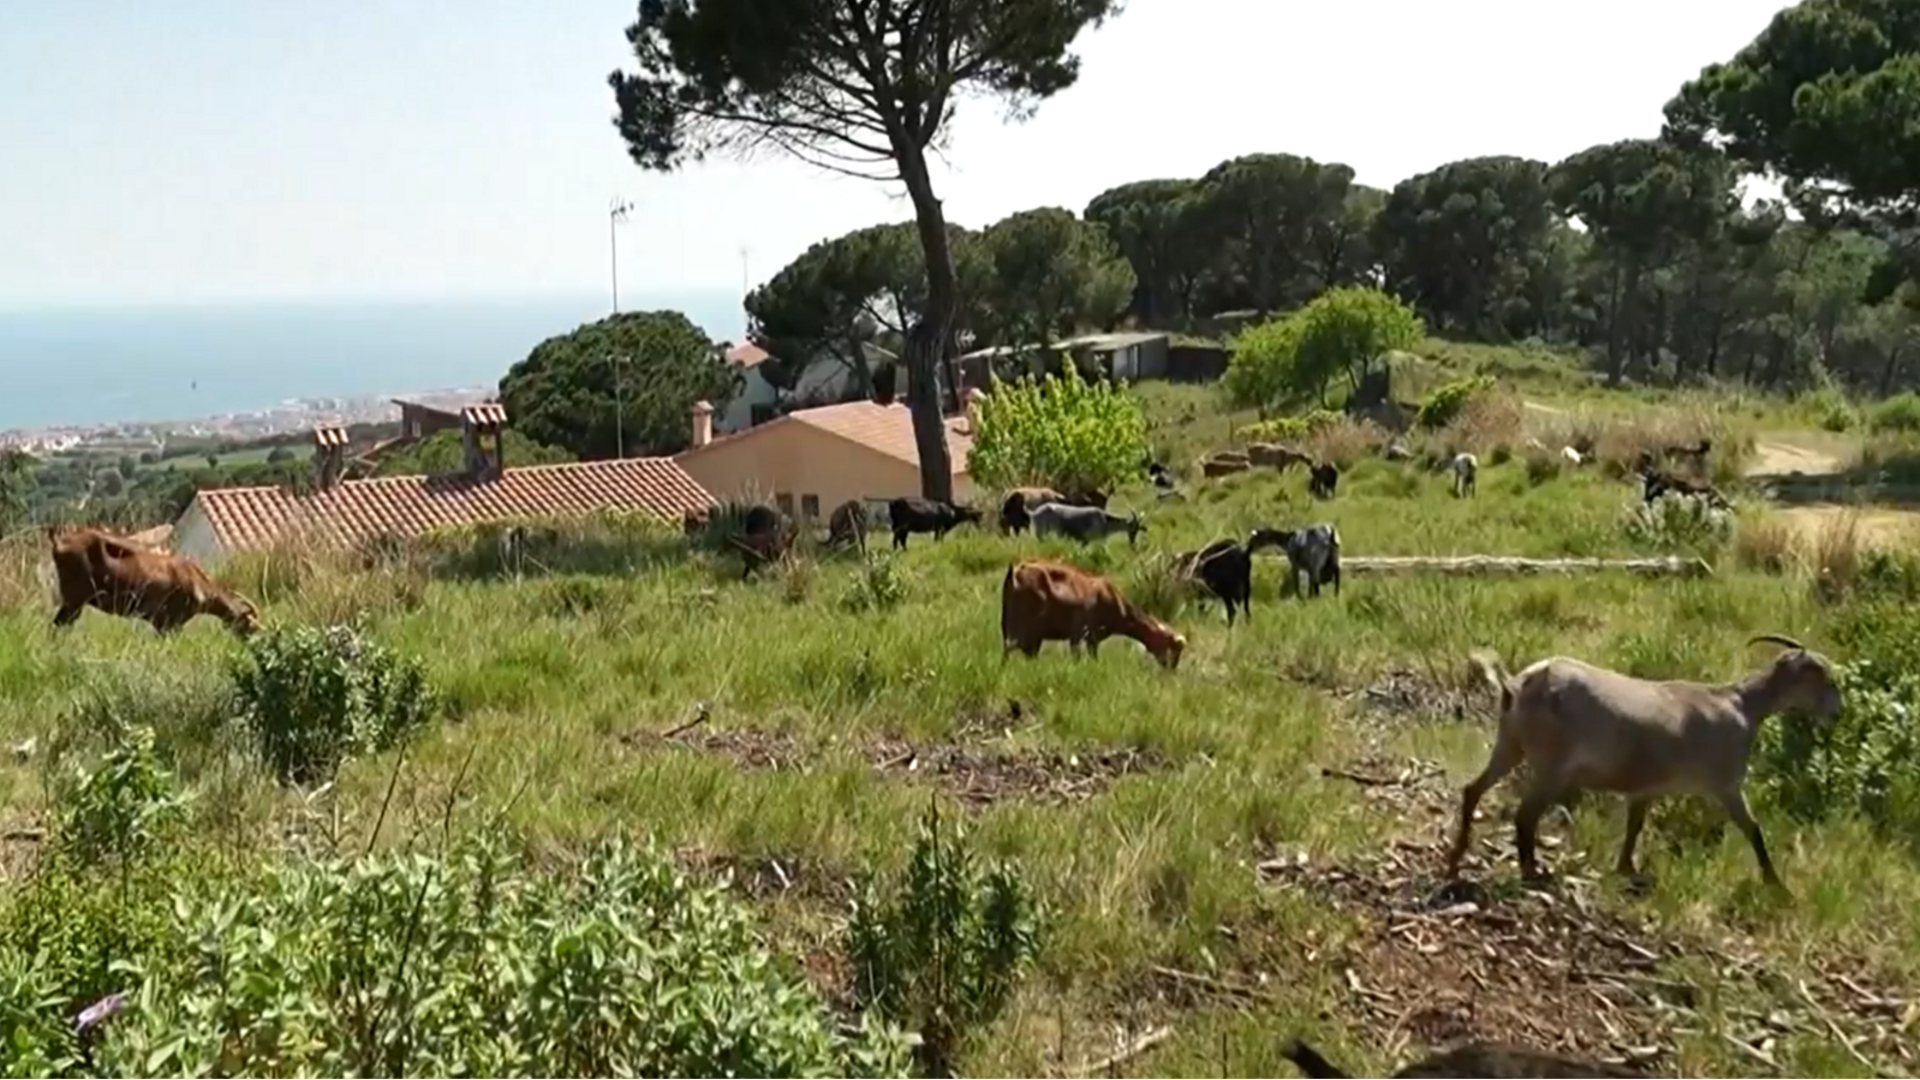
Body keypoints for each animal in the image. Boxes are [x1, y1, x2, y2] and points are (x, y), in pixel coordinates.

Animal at [1445, 635, 1842, 889]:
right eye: (1821, 675)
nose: (1837, 710)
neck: (1739, 705)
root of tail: (1520, 683)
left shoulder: (1645, 787)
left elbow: (1634, 826)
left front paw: (1627, 869)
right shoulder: (1725, 784)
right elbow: (1753, 828)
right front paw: (1777, 886)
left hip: (1510, 745)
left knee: (1473, 790)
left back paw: (1455, 861)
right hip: (1552, 764)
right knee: (1525, 815)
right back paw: (1531, 872)